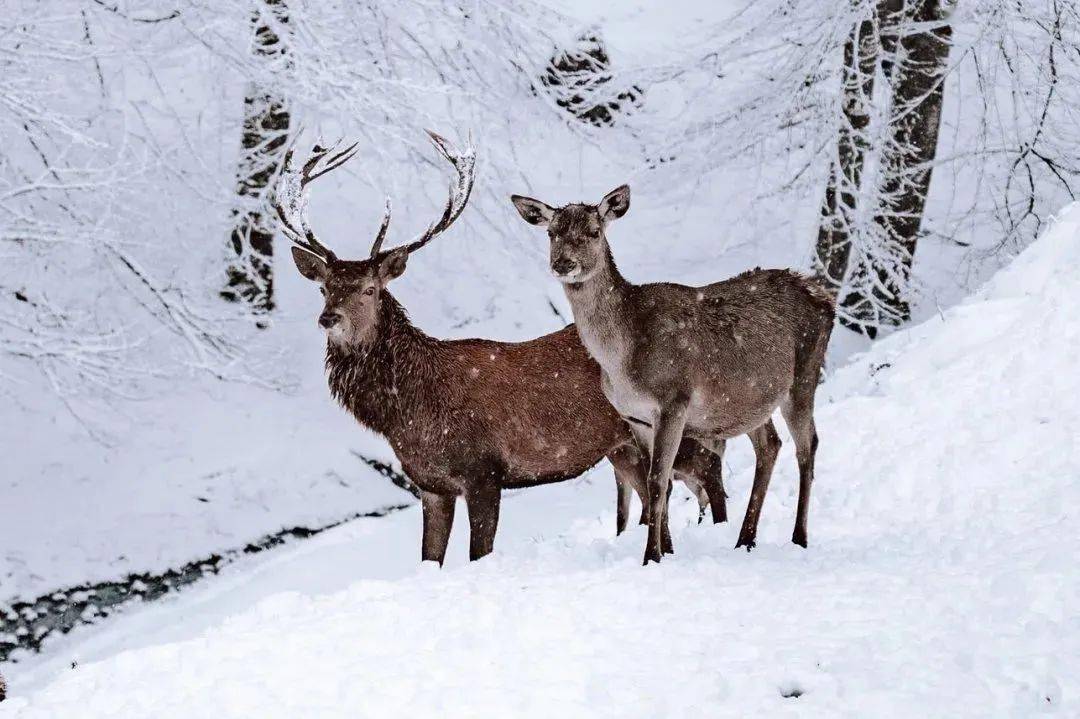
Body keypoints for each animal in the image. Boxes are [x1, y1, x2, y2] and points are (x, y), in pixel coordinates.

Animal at [276, 132, 725, 561]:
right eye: (324, 289)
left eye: (369, 290)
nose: (329, 319)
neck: (410, 411)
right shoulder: (430, 484)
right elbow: (429, 560)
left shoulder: (484, 471)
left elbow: (479, 554)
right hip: (623, 448)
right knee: (657, 495)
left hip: (678, 420)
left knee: (708, 469)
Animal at [511, 183, 833, 561]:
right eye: (552, 232)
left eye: (594, 231)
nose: (563, 263)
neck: (621, 362)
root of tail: (826, 298)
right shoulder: (635, 417)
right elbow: (657, 484)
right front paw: (667, 550)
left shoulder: (673, 401)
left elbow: (655, 480)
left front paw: (651, 555)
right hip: (749, 400)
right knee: (770, 444)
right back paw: (745, 539)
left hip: (804, 375)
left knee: (808, 446)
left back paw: (799, 537)